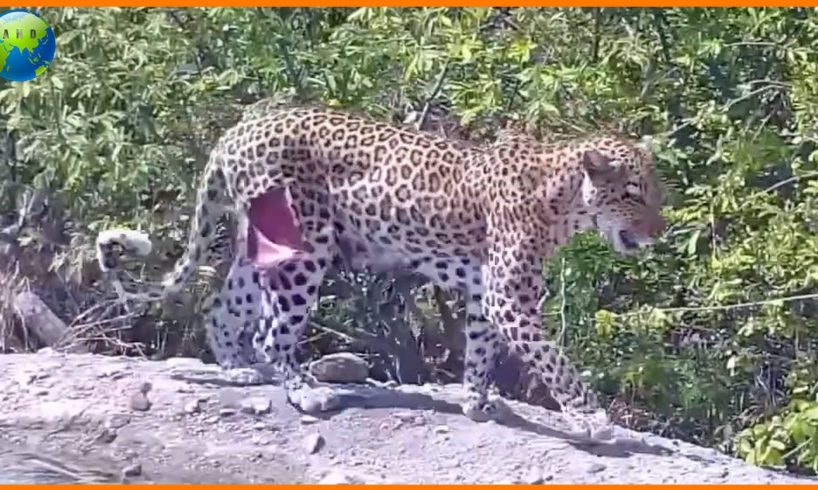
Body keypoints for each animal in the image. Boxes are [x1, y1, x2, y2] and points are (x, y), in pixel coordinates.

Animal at [96, 105, 666, 440]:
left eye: (654, 190)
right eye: (633, 192)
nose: (659, 231)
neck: (565, 202)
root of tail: (239, 129)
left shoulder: (485, 294)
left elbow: (481, 350)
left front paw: (477, 402)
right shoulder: (509, 298)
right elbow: (555, 361)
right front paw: (593, 419)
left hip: (263, 244)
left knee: (225, 306)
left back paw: (238, 369)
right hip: (308, 248)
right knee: (271, 332)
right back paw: (304, 391)